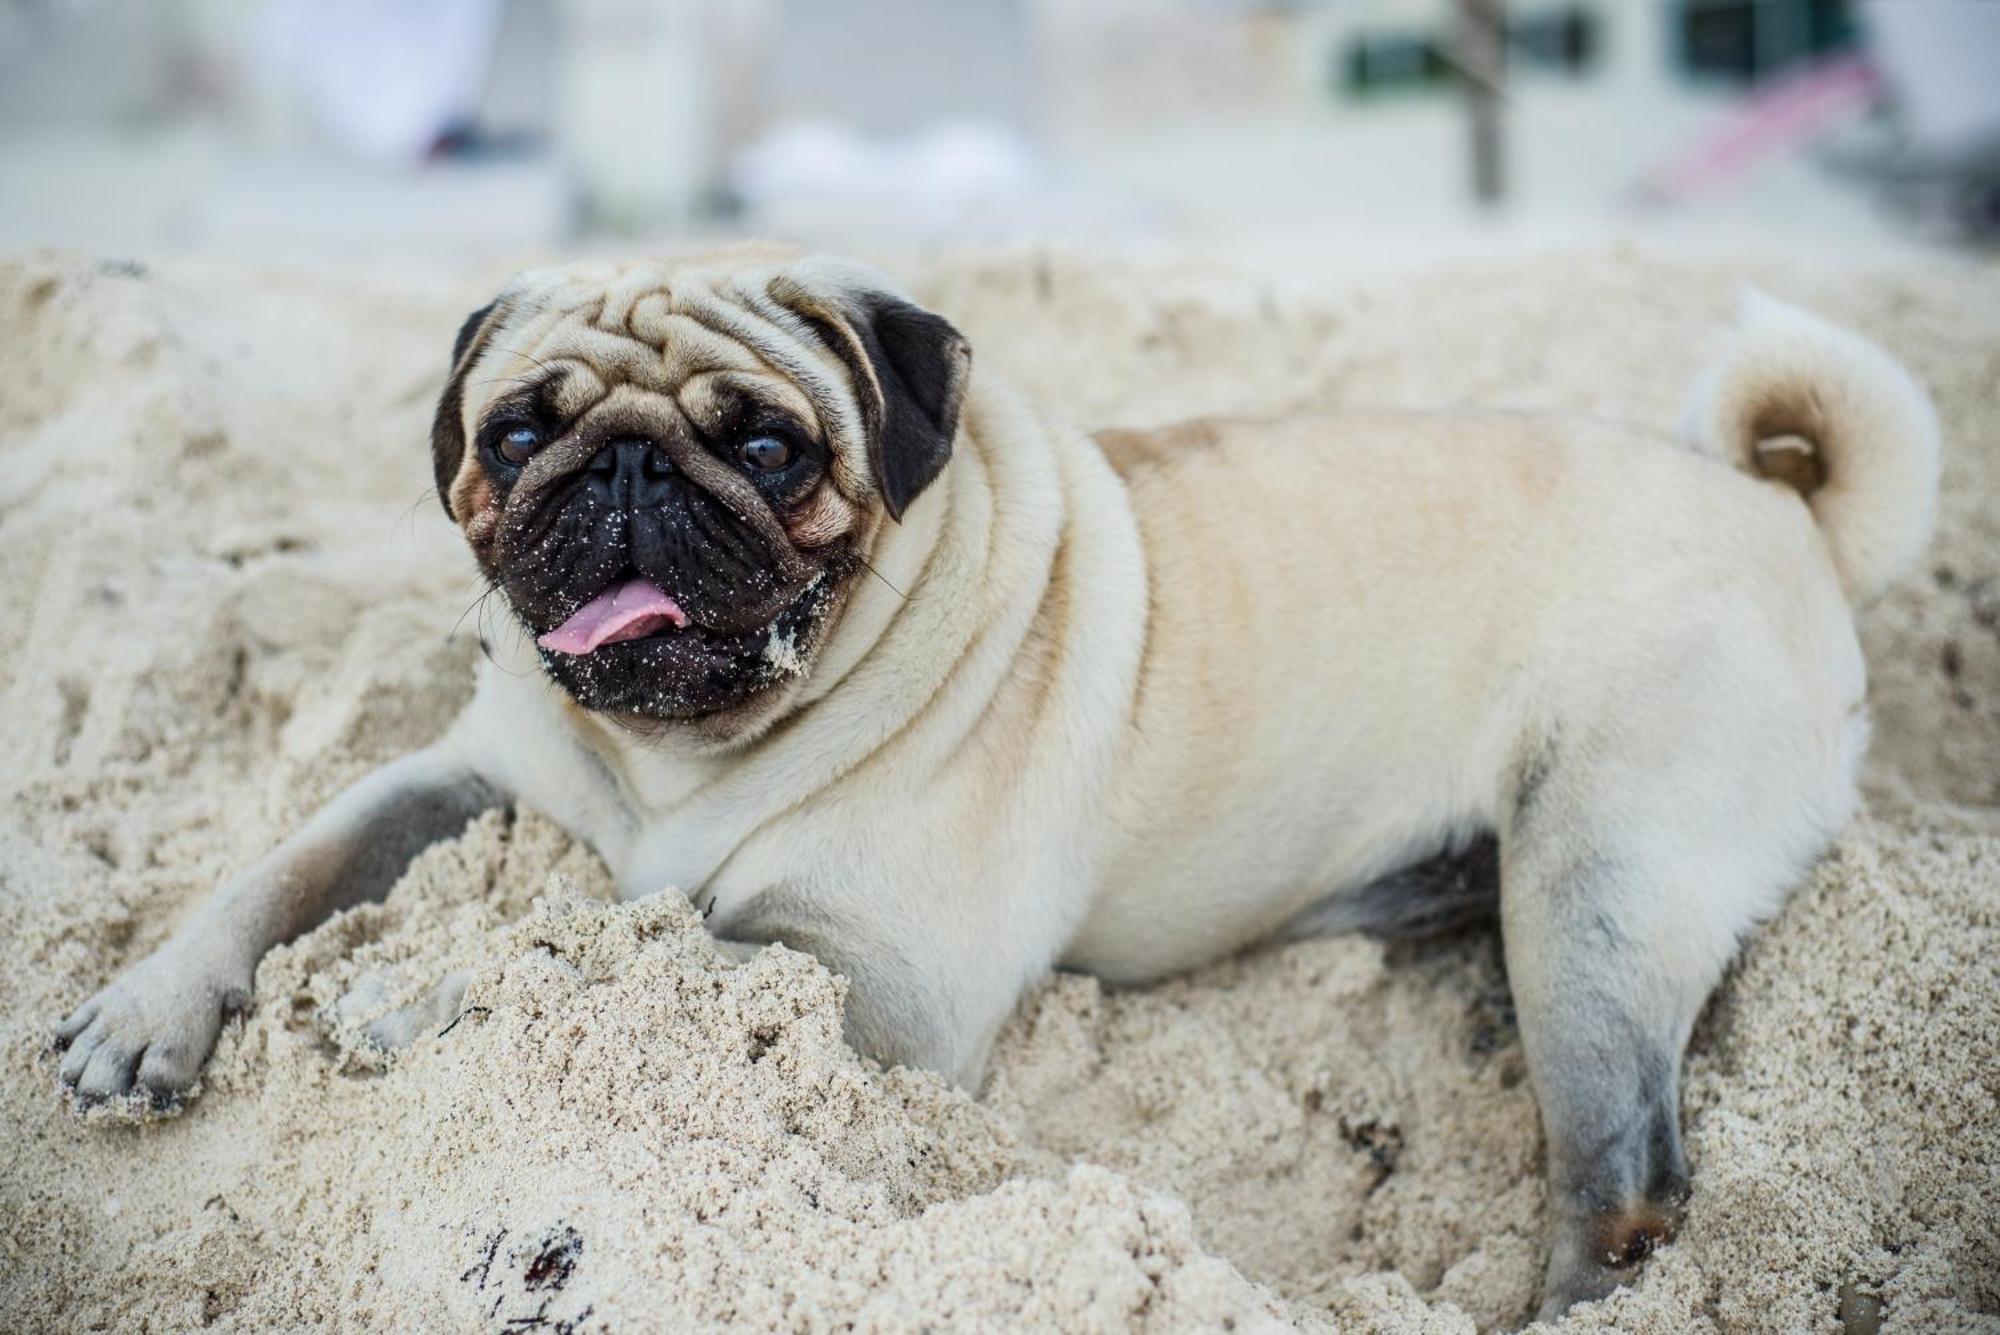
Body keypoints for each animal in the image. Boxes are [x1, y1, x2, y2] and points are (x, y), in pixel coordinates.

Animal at [58, 244, 1936, 1319]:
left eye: (766, 445)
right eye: (518, 433)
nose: (621, 477)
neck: (678, 760)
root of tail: (1782, 512)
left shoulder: (888, 979)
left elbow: (605, 945)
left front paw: (403, 997)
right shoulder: (463, 779)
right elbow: (293, 861)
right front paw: (150, 1011)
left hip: (1594, 890)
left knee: (1628, 1185)